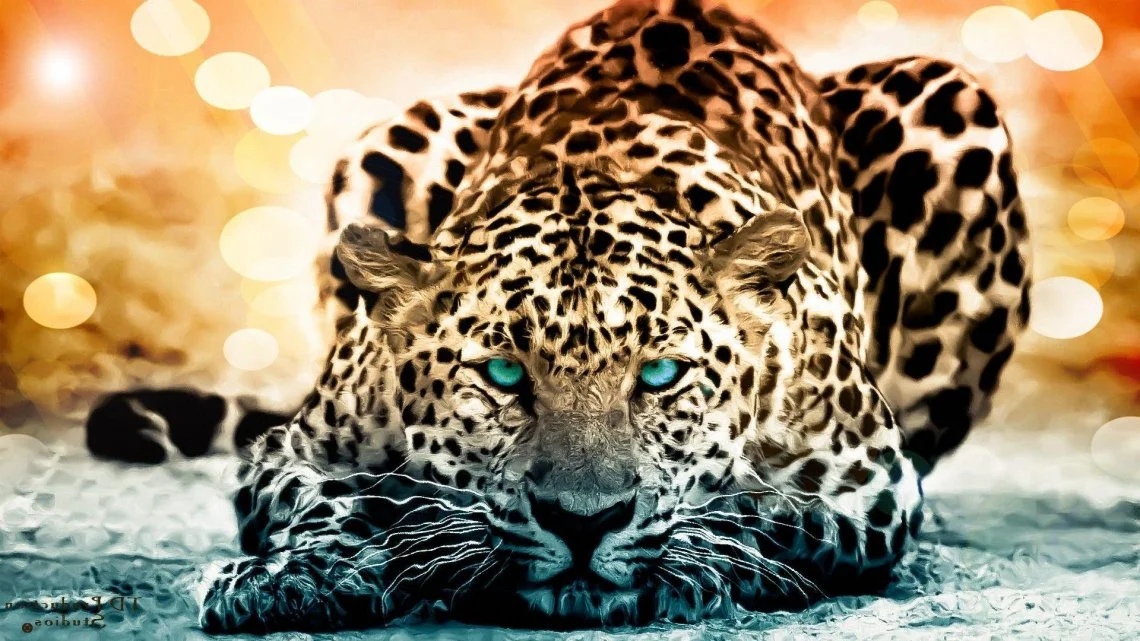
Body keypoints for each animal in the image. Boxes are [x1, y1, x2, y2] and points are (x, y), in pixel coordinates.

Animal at [84, 0, 1031, 632]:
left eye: (661, 374)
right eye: (504, 373)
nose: (582, 522)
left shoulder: (871, 484)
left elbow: (765, 512)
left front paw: (687, 561)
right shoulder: (298, 448)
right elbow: (340, 495)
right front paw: (295, 573)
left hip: (949, 104)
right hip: (392, 138)